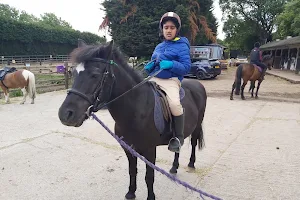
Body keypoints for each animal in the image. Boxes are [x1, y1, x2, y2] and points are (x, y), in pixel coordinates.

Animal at [59, 41, 209, 200]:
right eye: (74, 73)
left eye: (95, 75)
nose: (65, 114)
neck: (137, 109)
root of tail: (197, 84)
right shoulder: (128, 148)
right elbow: (132, 170)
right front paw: (131, 192)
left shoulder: (150, 150)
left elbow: (149, 176)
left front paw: (150, 197)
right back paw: (174, 167)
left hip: (197, 126)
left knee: (193, 142)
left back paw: (191, 164)